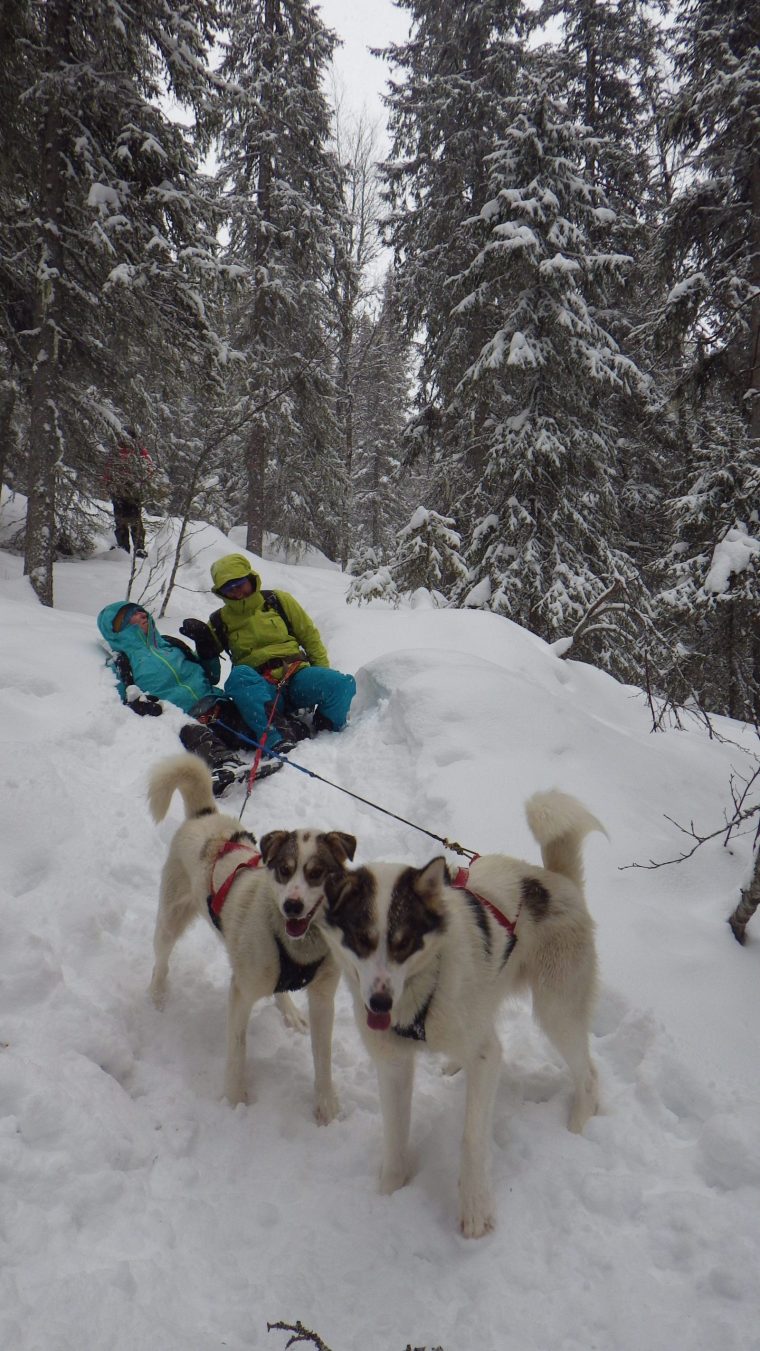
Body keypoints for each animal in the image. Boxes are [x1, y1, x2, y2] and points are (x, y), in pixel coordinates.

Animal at [147, 756, 356, 1124]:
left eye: (316, 873)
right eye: (284, 870)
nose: (292, 906)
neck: (297, 947)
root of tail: (205, 816)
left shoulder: (322, 999)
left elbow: (323, 1058)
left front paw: (326, 1104)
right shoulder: (241, 993)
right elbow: (237, 1050)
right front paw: (234, 1098)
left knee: (279, 992)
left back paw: (290, 1012)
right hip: (170, 921)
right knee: (160, 961)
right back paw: (158, 996)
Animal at [321, 788, 607, 1237]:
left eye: (403, 943)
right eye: (360, 940)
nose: (379, 1004)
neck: (422, 993)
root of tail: (554, 880)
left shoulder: (486, 1058)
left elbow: (472, 1137)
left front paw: (474, 1208)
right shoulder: (394, 1066)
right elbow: (395, 1137)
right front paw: (390, 1192)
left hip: (556, 1011)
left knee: (589, 1073)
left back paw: (580, 1120)